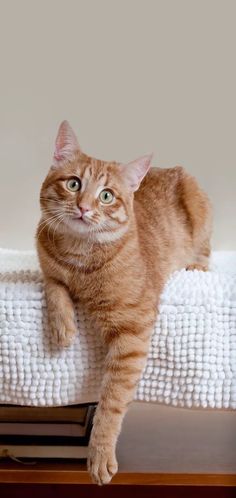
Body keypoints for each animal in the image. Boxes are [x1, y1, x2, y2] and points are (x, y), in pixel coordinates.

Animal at [36, 120, 212, 482]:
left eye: (106, 196)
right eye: (73, 184)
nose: (84, 208)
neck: (80, 260)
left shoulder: (131, 334)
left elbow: (112, 400)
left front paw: (99, 454)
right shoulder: (46, 265)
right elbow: (54, 285)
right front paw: (63, 328)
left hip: (201, 212)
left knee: (206, 251)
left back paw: (197, 266)